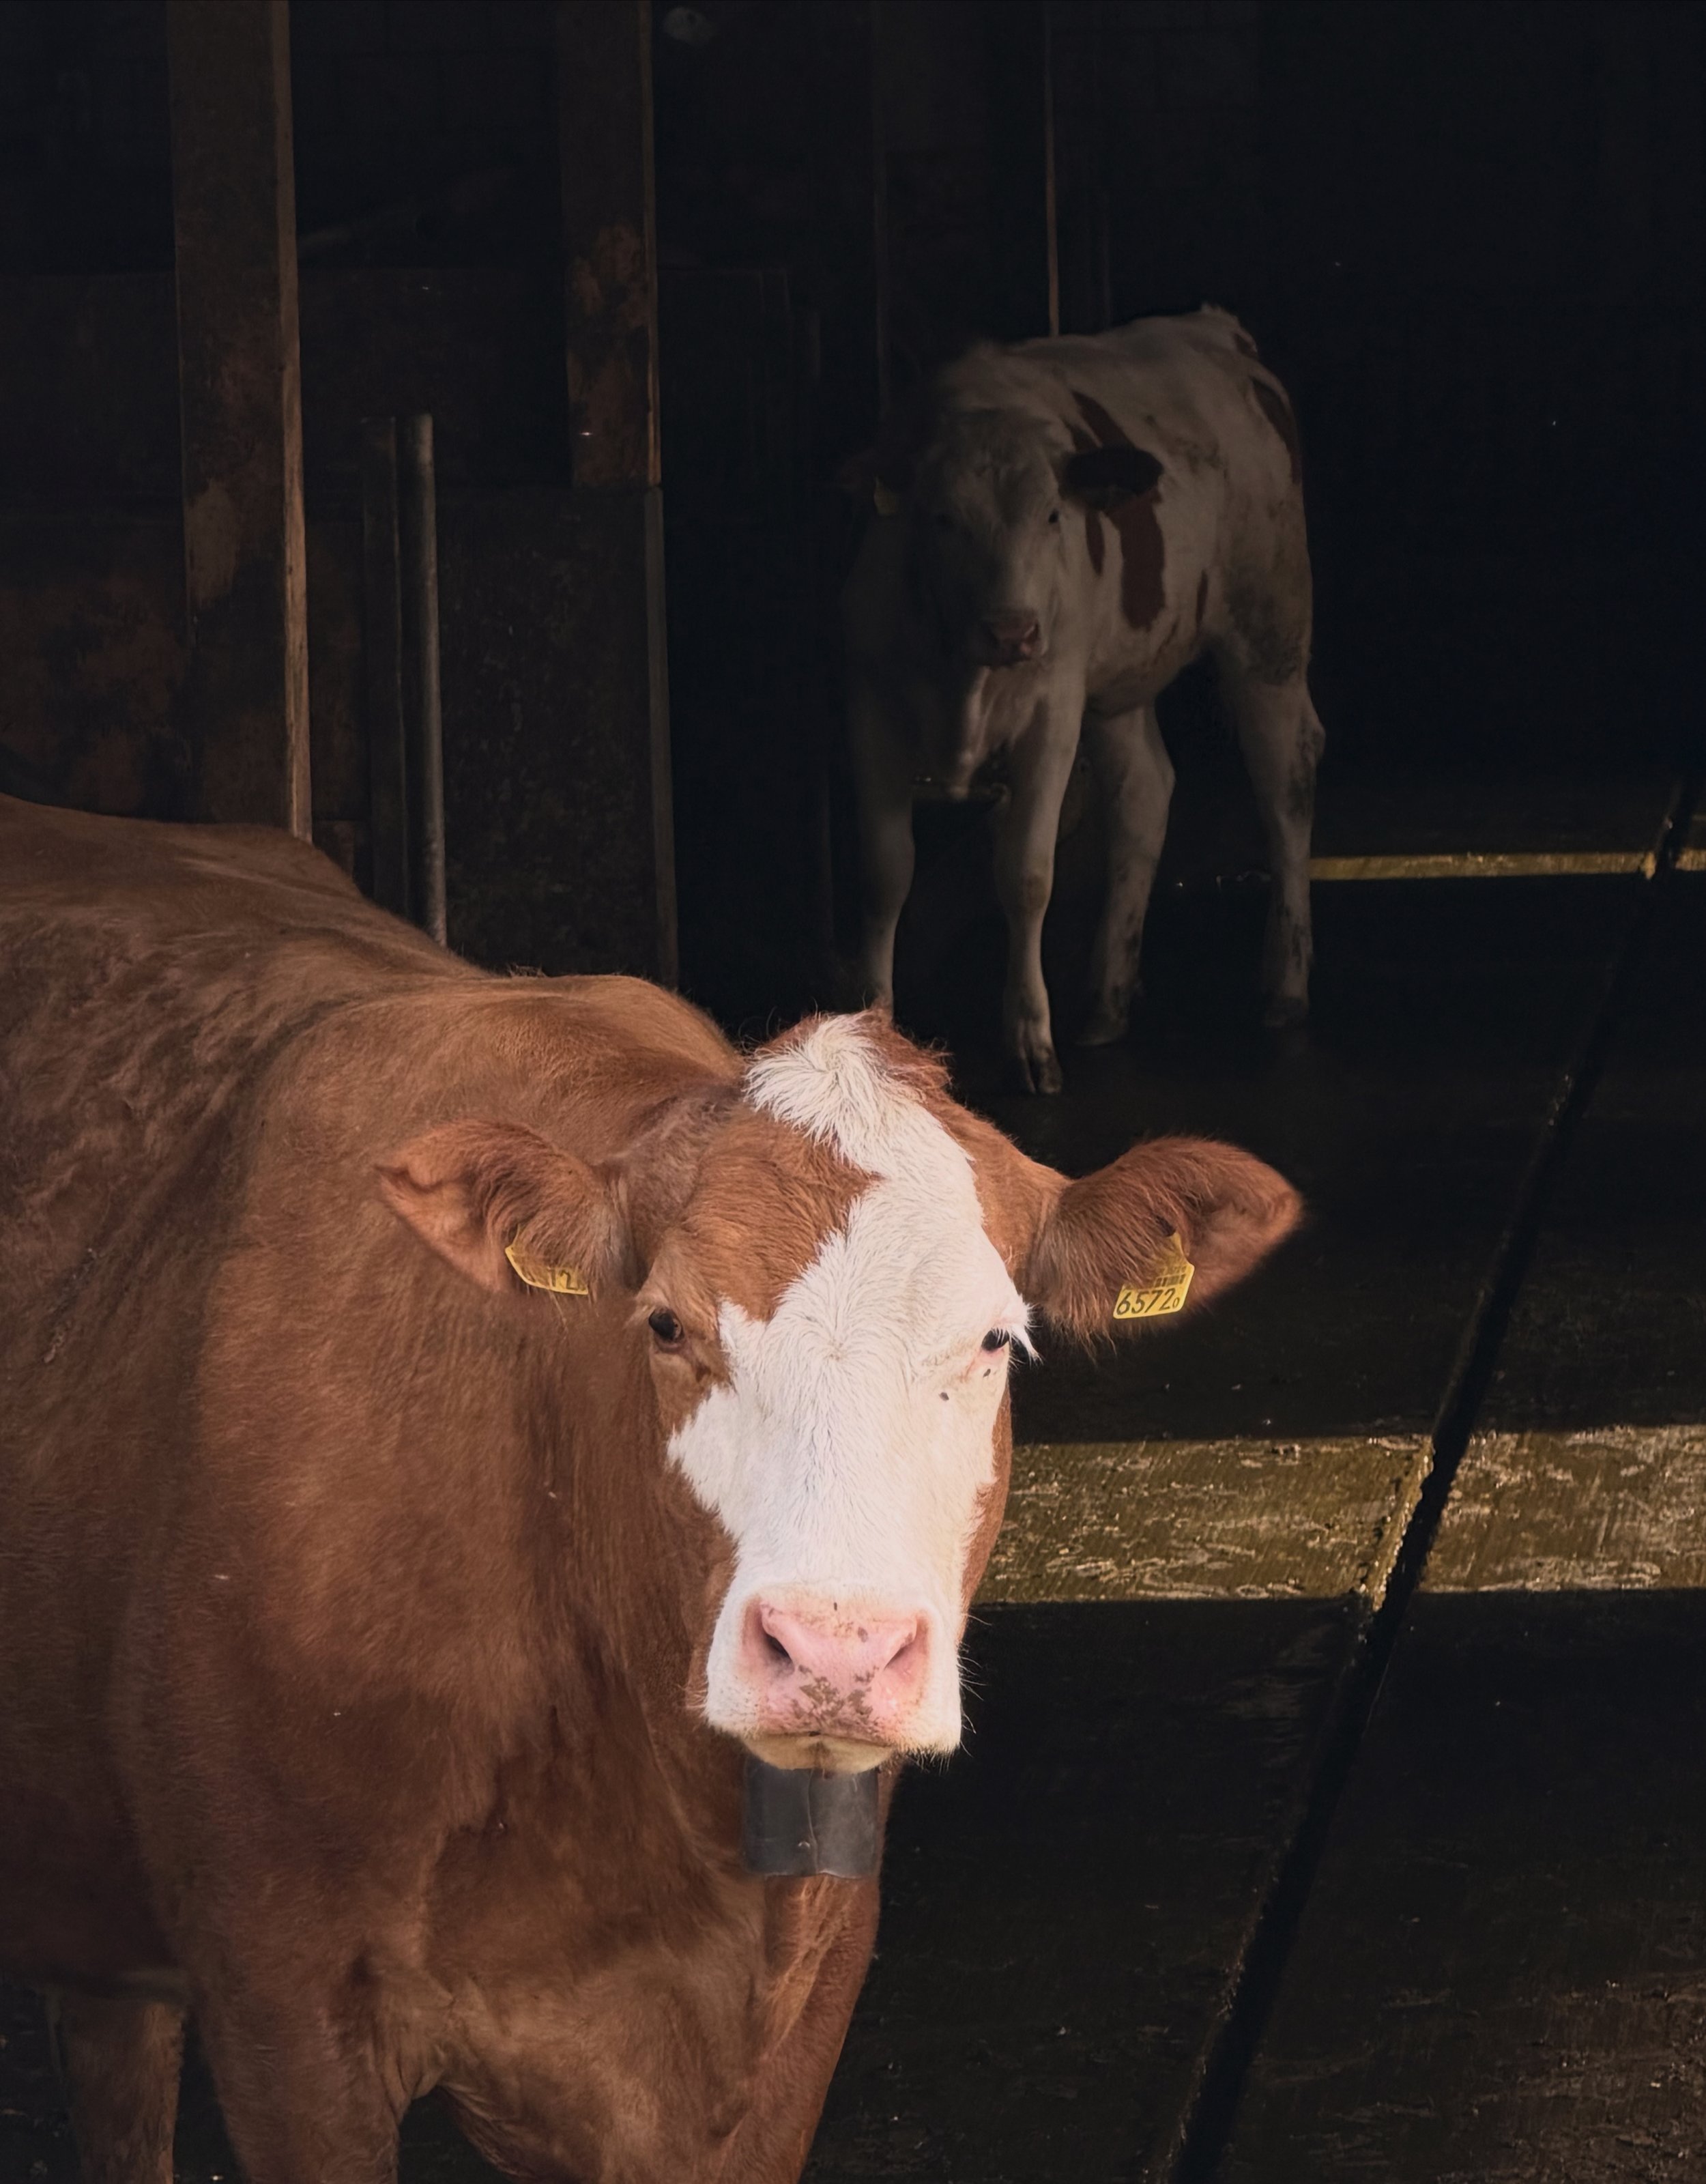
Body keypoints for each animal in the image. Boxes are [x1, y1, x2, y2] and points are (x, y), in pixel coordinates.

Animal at [843, 305, 1325, 1093]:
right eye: (942, 519)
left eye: (1051, 516)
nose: (1012, 629)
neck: (963, 669)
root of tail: (1214, 328)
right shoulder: (871, 705)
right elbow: (885, 874)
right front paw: (871, 1032)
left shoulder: (1052, 708)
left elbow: (1027, 874)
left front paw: (1031, 1043)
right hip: (1116, 683)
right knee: (1143, 792)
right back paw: (1107, 996)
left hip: (1269, 627)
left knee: (1285, 779)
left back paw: (1285, 982)